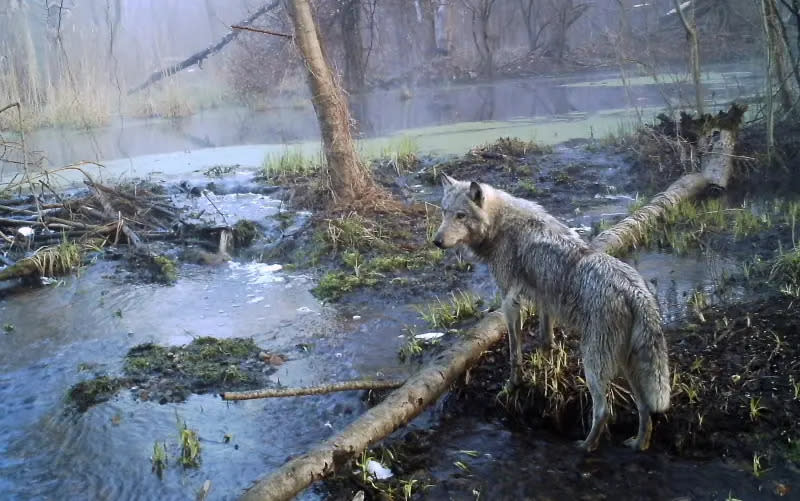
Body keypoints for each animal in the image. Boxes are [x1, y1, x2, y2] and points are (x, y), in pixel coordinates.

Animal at [434, 175, 672, 450]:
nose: (436, 241)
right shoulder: (544, 300)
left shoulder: (510, 302)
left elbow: (514, 353)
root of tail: (635, 291)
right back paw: (638, 444)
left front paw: (512, 386)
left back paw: (585, 447)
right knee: (644, 409)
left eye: (461, 215)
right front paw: (547, 371)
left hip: (594, 365)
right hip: (627, 365)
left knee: (604, 411)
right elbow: (545, 340)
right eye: (444, 212)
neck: (500, 224)